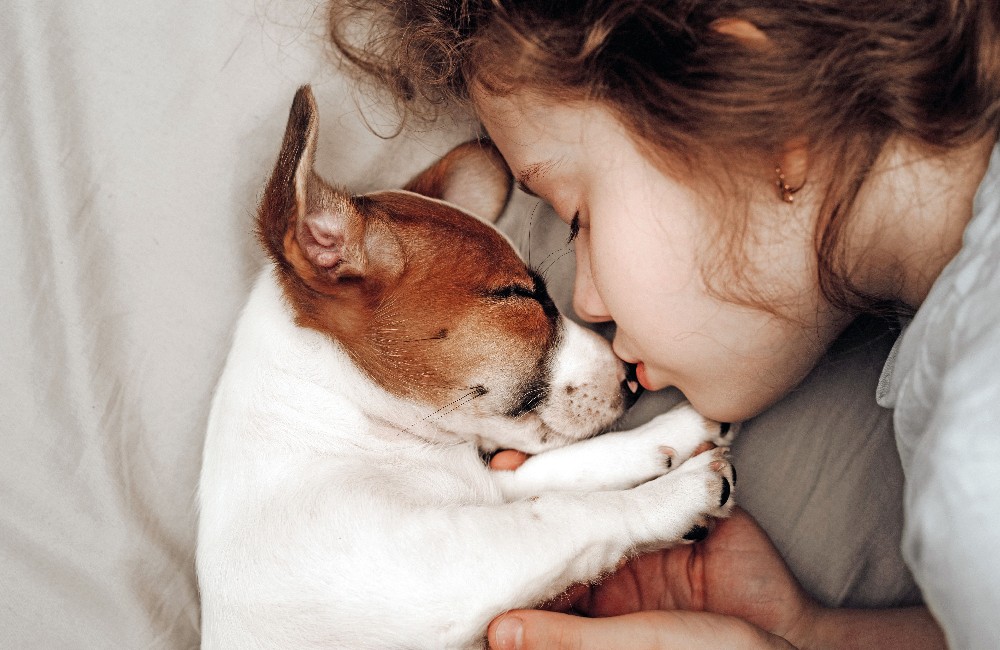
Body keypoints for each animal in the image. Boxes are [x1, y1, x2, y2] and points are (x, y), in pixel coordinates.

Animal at [199, 87, 740, 648]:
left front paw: (668, 433)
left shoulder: (485, 494)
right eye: (519, 295)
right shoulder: (449, 564)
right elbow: (566, 510)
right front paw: (676, 496)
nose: (632, 379)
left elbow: (549, 473)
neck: (343, 422)